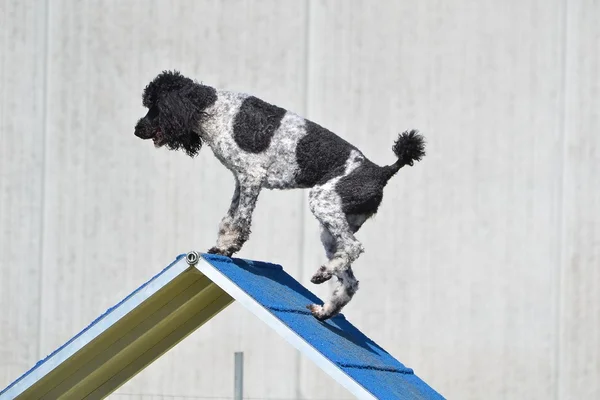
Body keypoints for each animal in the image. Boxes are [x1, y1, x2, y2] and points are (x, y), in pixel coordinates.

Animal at [134, 71, 424, 322]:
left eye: (154, 106)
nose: (137, 129)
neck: (212, 109)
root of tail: (382, 171)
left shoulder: (252, 177)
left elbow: (239, 222)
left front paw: (228, 248)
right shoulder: (241, 180)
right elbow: (228, 219)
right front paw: (221, 247)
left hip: (324, 204)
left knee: (354, 248)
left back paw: (321, 275)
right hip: (331, 229)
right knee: (350, 281)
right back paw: (324, 311)